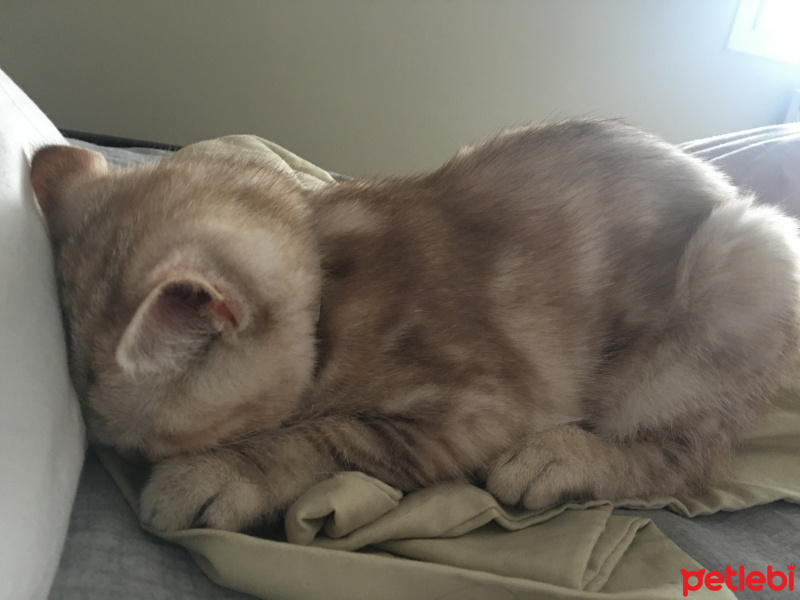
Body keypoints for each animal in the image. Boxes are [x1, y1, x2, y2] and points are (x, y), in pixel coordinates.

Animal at [28, 119, 800, 532]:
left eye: (138, 454)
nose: (131, 466)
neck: (330, 277)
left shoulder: (481, 408)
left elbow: (329, 437)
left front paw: (221, 472)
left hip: (744, 260)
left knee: (683, 461)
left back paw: (560, 459)